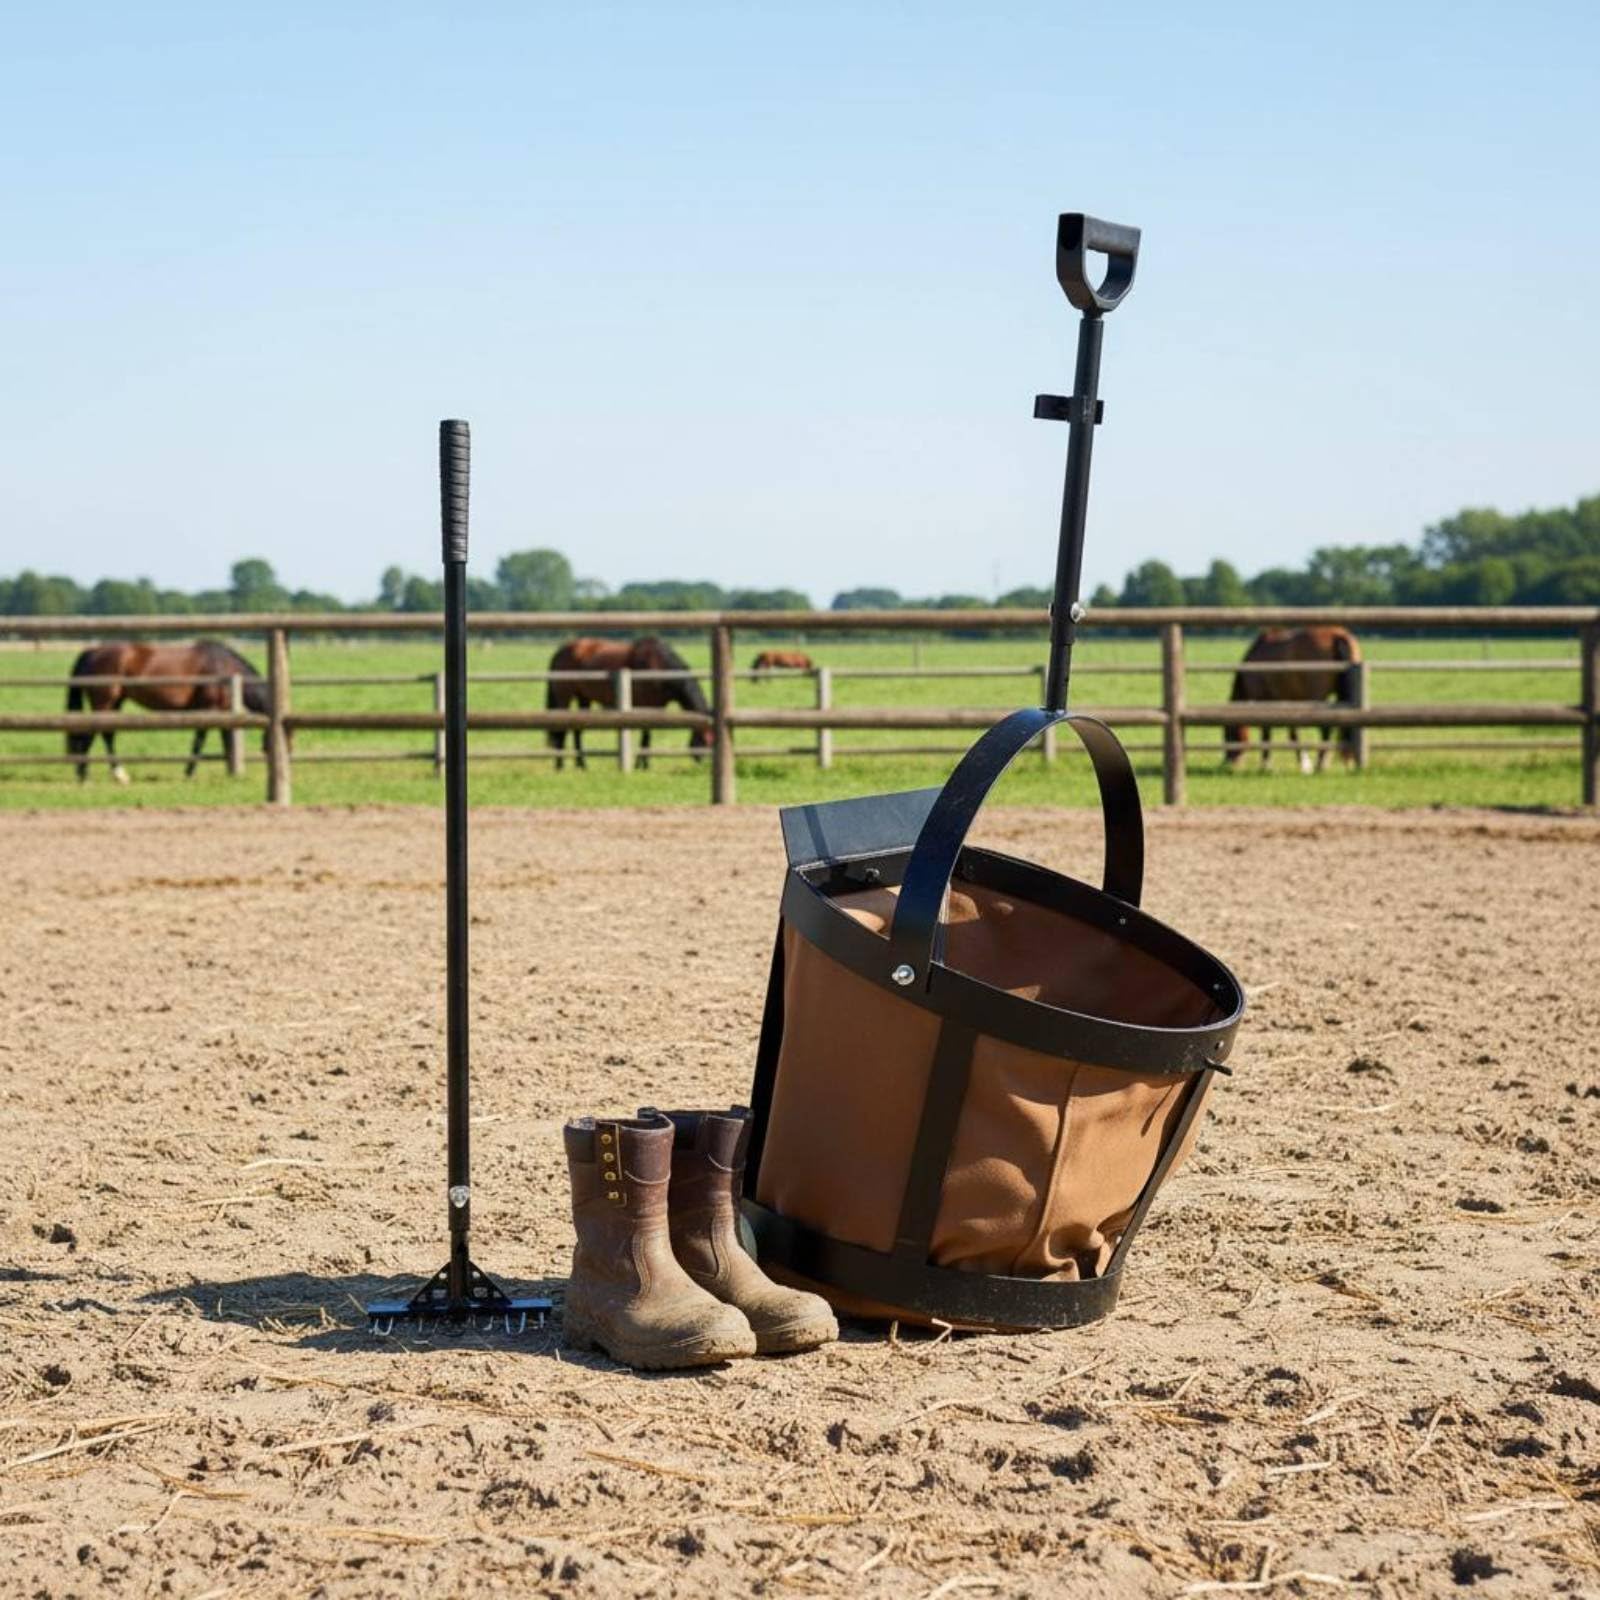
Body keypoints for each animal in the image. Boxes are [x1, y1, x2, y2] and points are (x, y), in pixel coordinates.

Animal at [66, 639, 271, 783]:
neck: (223, 667)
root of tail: (92, 652)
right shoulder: (207, 710)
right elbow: (199, 742)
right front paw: (189, 773)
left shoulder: (223, 712)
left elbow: (227, 741)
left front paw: (232, 774)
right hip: (104, 703)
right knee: (93, 733)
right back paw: (85, 775)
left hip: (115, 703)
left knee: (107, 734)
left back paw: (118, 775)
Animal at [546, 636, 713, 770]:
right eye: (706, 739)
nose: (704, 763)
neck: (658, 666)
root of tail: (561, 650)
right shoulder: (647, 706)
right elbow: (646, 735)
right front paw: (642, 765)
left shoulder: (658, 707)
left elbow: (647, 738)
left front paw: (643, 765)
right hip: (564, 697)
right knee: (561, 730)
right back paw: (559, 765)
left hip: (584, 698)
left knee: (578, 730)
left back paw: (582, 765)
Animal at [1224, 626, 1362, 773]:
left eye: (1229, 734)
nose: (1228, 763)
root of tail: (1338, 635)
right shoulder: (1289, 700)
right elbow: (1293, 733)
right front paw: (1304, 764)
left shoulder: (1264, 700)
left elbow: (1267, 733)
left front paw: (1266, 765)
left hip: (1319, 698)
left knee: (1326, 728)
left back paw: (1321, 763)